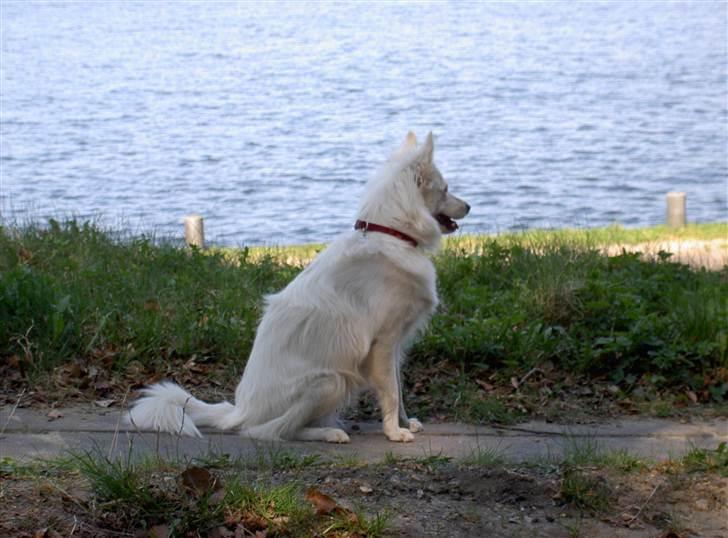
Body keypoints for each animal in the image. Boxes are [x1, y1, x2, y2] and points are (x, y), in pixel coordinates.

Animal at [129, 132, 472, 442]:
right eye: (446, 189)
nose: (469, 207)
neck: (392, 233)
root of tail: (240, 411)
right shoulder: (384, 343)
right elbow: (389, 392)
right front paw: (393, 433)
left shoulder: (396, 346)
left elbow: (398, 391)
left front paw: (404, 422)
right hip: (330, 380)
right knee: (272, 431)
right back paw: (329, 433)